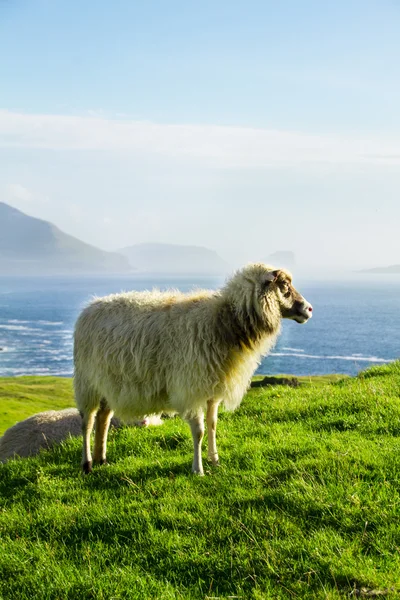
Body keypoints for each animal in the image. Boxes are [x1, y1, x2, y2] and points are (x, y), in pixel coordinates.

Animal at [75, 262, 312, 474]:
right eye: (284, 285)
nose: (309, 308)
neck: (223, 321)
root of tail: (90, 306)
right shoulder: (192, 388)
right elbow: (199, 431)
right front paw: (198, 469)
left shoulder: (213, 387)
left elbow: (213, 424)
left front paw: (215, 460)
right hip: (86, 381)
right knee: (87, 421)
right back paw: (87, 464)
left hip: (107, 382)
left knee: (103, 418)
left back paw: (101, 458)